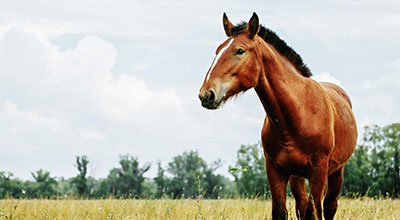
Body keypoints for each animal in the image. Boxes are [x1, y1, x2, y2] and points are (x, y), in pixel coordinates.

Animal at [198, 12, 358, 220]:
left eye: (240, 50)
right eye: (217, 50)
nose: (206, 94)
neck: (298, 115)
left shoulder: (319, 169)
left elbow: (314, 211)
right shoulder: (275, 170)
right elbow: (281, 211)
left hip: (336, 171)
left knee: (329, 206)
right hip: (298, 177)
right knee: (302, 204)